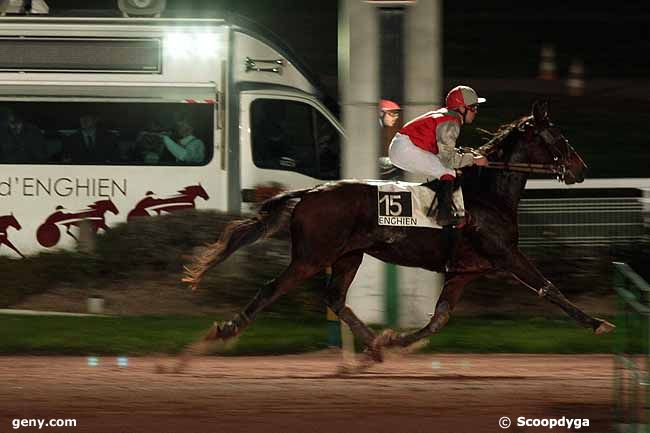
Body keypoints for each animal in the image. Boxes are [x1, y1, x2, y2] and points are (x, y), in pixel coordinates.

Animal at [181, 101, 612, 362]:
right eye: (559, 137)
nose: (581, 169)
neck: (488, 194)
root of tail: (309, 192)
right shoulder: (506, 255)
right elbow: (549, 288)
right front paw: (597, 323)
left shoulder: (463, 272)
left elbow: (439, 318)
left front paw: (395, 341)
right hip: (311, 257)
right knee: (272, 288)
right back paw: (226, 330)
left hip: (348, 256)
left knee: (335, 298)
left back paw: (374, 344)